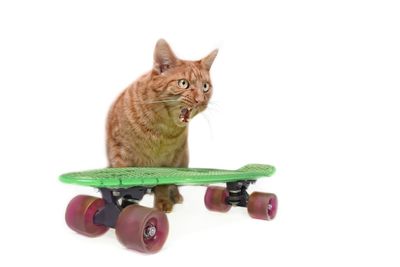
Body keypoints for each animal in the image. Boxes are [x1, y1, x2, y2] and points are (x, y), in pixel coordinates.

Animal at [106, 38, 217, 213]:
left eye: (205, 87)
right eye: (183, 83)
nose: (200, 100)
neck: (160, 129)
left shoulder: (171, 160)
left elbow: (164, 184)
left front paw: (163, 202)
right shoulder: (120, 154)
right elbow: (125, 187)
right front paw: (126, 206)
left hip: (183, 158)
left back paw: (175, 196)